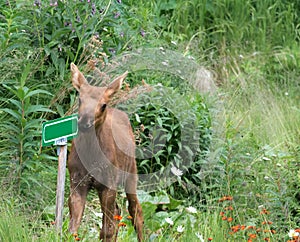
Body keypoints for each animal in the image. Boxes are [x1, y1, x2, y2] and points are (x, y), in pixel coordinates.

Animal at [68, 63, 143, 241]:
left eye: (103, 105)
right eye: (80, 99)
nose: (84, 122)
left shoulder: (109, 183)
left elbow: (108, 228)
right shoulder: (76, 180)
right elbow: (72, 228)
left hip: (131, 172)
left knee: (135, 211)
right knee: (117, 211)